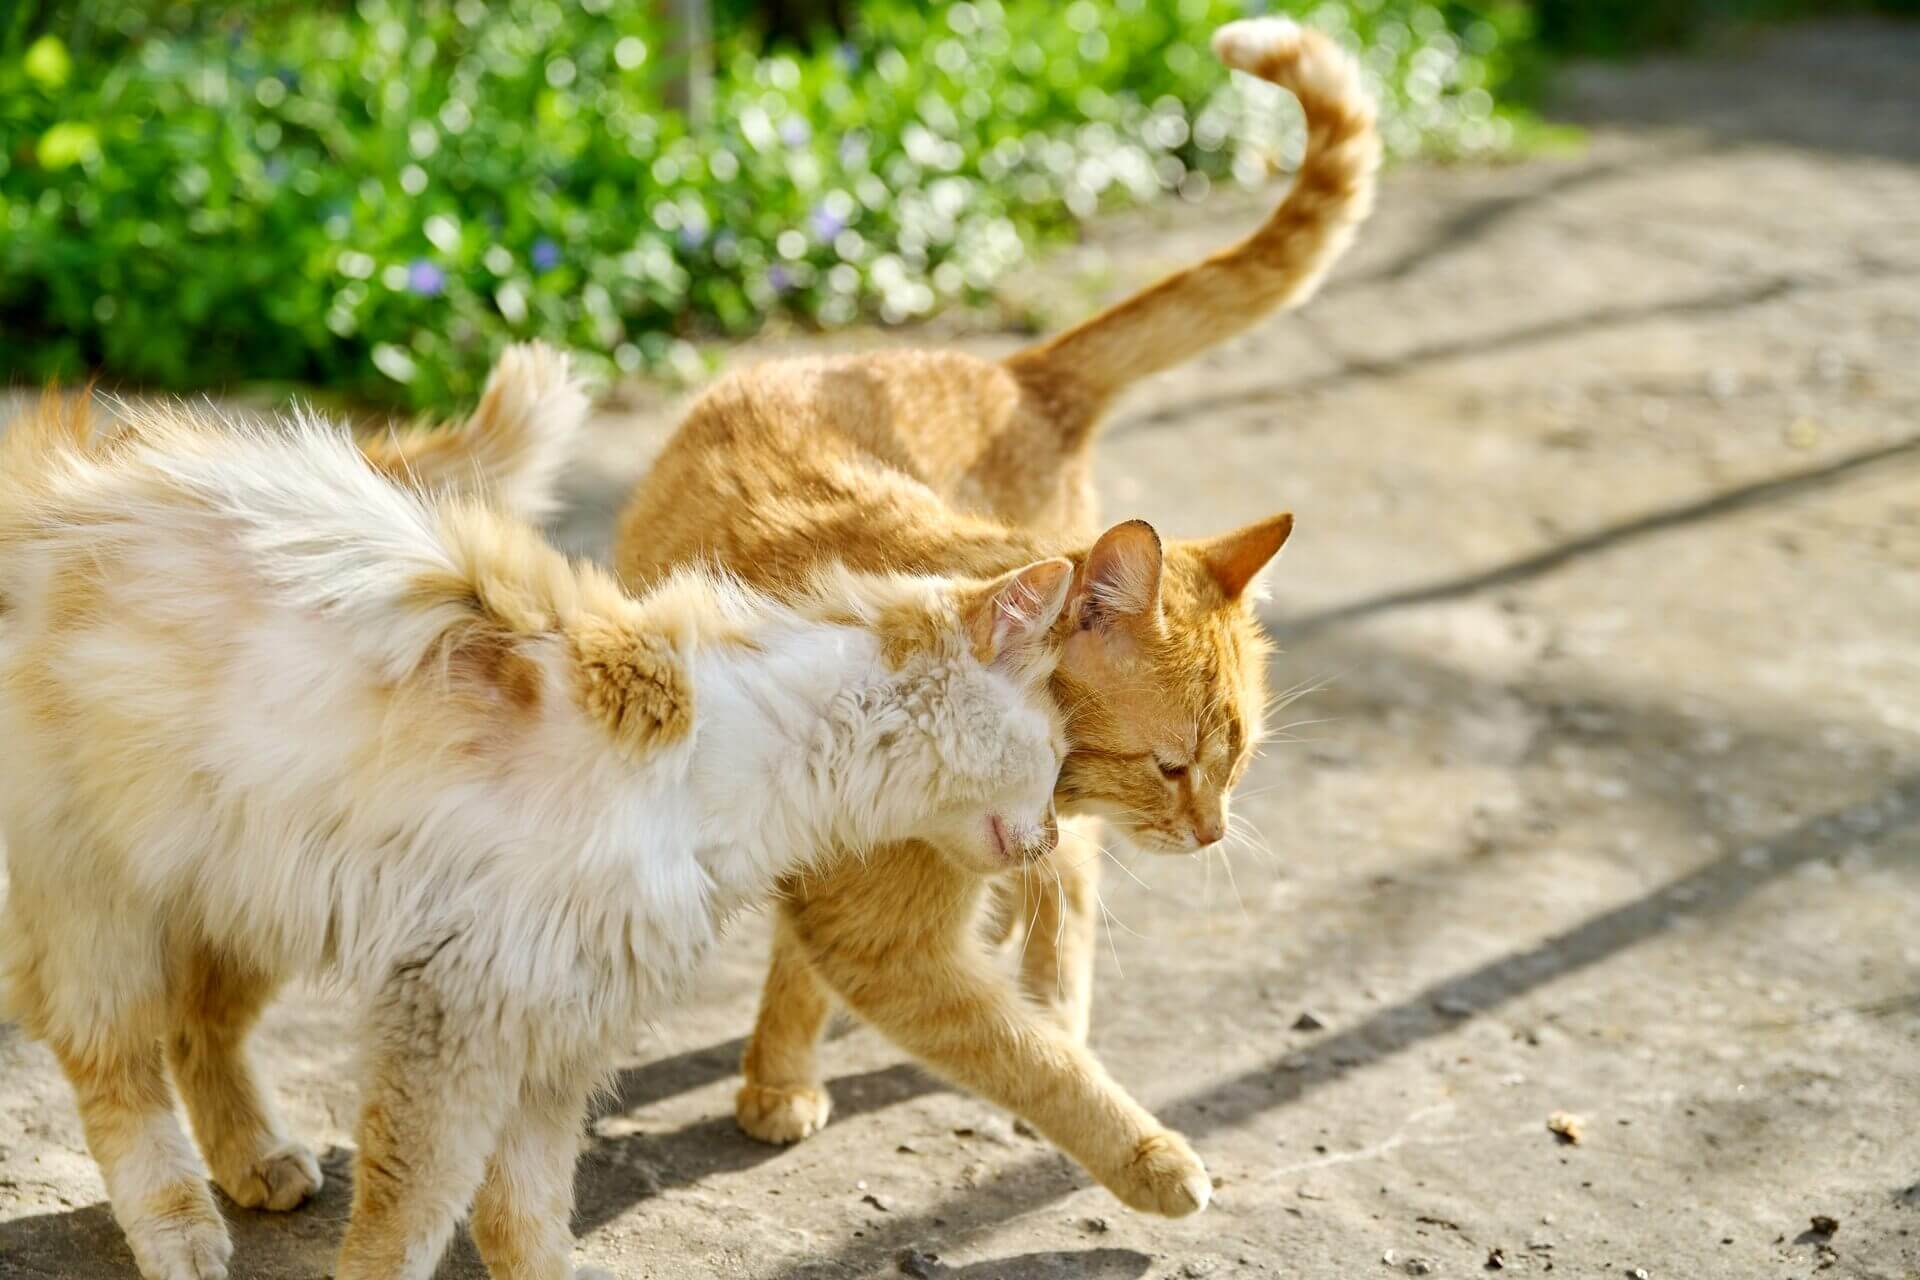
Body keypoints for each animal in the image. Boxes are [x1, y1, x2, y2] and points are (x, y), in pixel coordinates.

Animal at [0, 345, 1075, 1274]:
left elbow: (525, 1212)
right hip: (102, 900)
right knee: (117, 1066)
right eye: (1062, 759)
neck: (742, 751)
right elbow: (410, 1216)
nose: (1054, 834)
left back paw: (256, 1161)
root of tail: (62, 473)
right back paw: (180, 1227)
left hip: (243, 887)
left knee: (198, 1029)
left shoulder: (557, 1030)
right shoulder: (454, 1015)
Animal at [587, 17, 1382, 1212]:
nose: (1211, 833)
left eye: (1236, 764)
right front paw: (1149, 1154)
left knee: (1063, 897)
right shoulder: (885, 938)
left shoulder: (900, 913)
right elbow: (1026, 1059)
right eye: (1173, 766)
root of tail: (1013, 372)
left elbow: (1025, 1010)